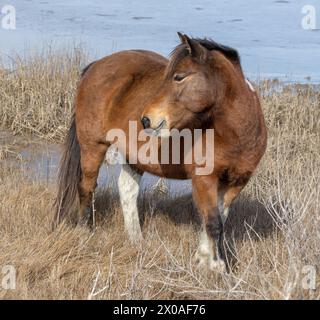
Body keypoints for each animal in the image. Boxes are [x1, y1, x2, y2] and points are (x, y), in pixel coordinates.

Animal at [55, 33, 268, 272]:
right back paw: (86, 232)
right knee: (87, 187)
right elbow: (213, 223)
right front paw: (217, 267)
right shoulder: (204, 179)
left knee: (127, 191)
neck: (234, 132)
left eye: (179, 77)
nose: (147, 119)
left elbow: (218, 219)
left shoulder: (236, 182)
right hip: (92, 146)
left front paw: (204, 258)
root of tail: (96, 66)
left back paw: (136, 241)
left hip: (134, 156)